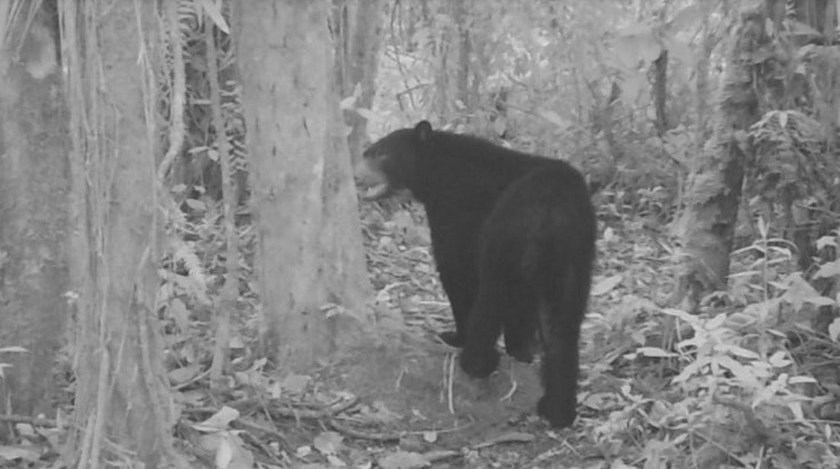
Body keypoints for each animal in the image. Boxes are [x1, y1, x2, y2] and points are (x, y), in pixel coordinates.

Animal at [358, 120, 596, 428]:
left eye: (380, 153)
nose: (356, 174)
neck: (436, 170)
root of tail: (551, 210)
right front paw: (522, 349)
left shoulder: (456, 209)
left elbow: (456, 269)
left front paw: (457, 335)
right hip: (573, 258)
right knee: (562, 322)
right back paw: (558, 409)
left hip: (505, 236)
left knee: (491, 296)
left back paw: (476, 361)